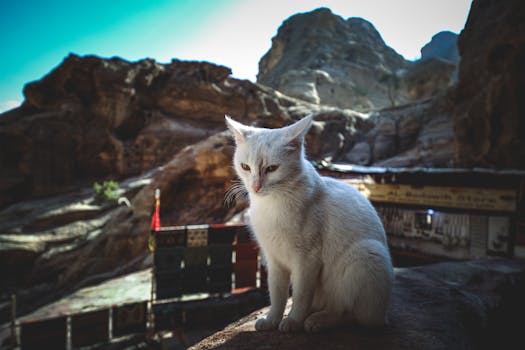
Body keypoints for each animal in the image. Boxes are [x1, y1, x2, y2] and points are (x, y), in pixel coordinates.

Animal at [225, 115, 392, 334]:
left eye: (271, 169)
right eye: (245, 167)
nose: (255, 186)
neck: (271, 205)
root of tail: (384, 314)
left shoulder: (307, 259)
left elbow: (301, 294)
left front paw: (293, 321)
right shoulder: (273, 259)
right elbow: (277, 295)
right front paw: (272, 320)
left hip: (367, 254)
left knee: (353, 315)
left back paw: (317, 320)